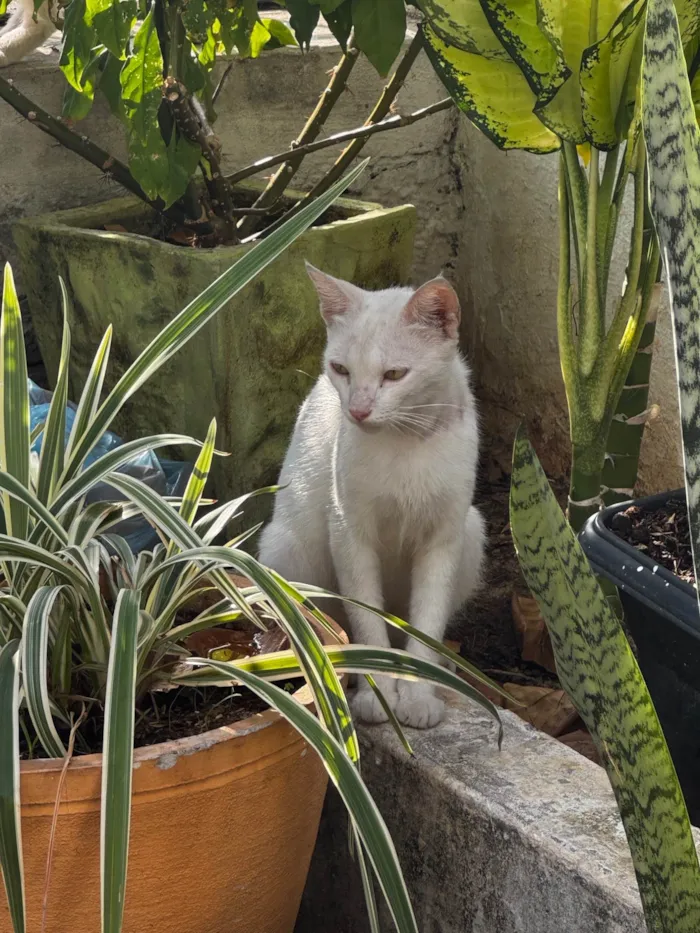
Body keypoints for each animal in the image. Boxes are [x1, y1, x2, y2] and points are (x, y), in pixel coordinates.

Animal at [258, 262, 486, 728]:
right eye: (341, 369)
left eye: (395, 374)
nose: (358, 411)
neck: (405, 441)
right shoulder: (349, 533)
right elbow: (365, 619)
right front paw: (376, 694)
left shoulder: (445, 539)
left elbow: (429, 620)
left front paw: (418, 695)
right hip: (288, 548)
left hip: (474, 532)